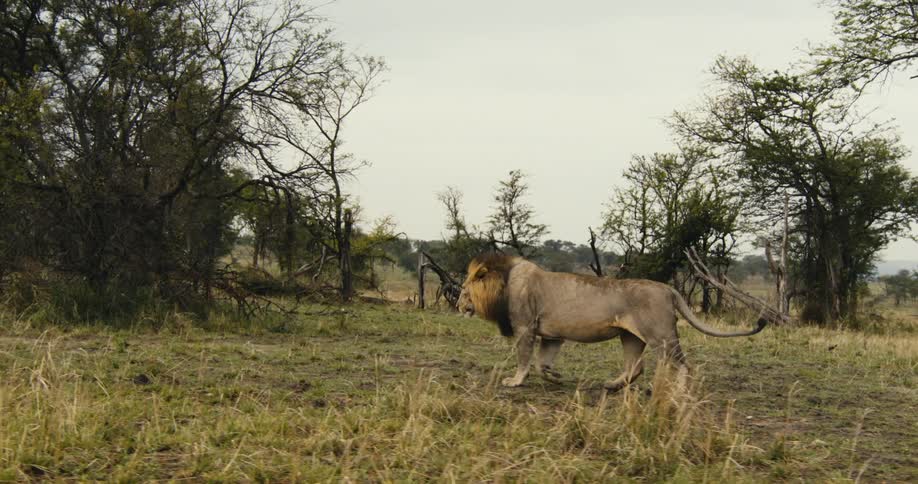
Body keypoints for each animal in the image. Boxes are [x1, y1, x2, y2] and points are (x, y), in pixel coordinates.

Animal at [456, 253, 767, 390]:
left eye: (463, 289)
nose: (459, 306)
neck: (505, 281)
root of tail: (668, 289)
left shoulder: (524, 327)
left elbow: (524, 359)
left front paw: (515, 381)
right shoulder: (552, 335)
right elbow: (542, 362)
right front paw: (554, 375)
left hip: (661, 336)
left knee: (683, 366)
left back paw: (678, 392)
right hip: (630, 337)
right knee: (636, 366)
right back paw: (613, 385)